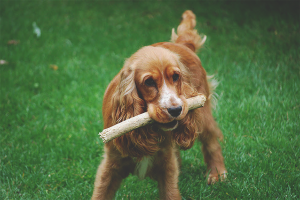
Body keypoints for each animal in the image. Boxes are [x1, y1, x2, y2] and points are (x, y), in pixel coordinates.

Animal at [92, 10, 226, 199]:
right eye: (149, 82)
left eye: (176, 77)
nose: (176, 110)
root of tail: (183, 45)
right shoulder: (111, 163)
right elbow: (101, 193)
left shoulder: (166, 166)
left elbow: (171, 192)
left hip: (203, 112)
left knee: (211, 139)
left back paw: (217, 173)